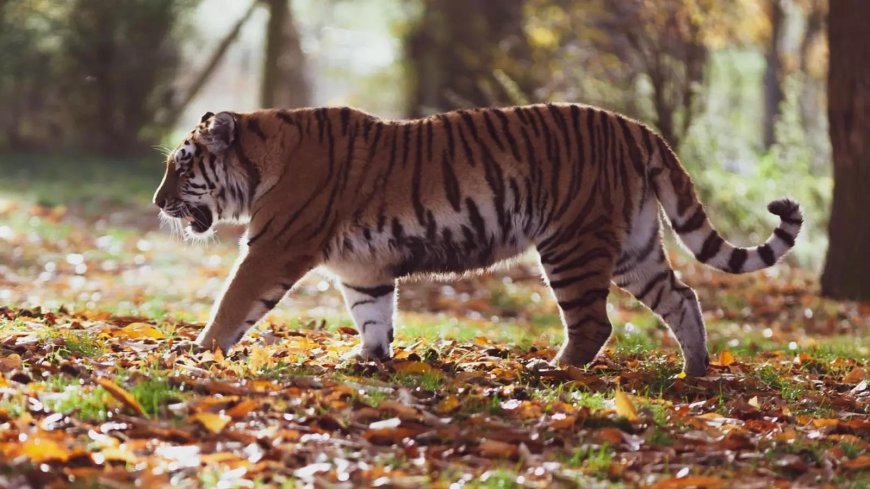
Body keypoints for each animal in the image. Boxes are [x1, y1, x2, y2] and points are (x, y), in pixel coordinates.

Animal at [153, 104, 802, 376]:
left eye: (181, 168)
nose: (158, 204)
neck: (263, 157)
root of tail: (638, 128)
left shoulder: (274, 248)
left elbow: (233, 302)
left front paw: (199, 351)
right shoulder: (362, 268)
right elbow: (373, 314)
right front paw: (367, 359)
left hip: (571, 244)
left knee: (594, 323)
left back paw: (553, 371)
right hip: (633, 248)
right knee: (683, 297)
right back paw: (695, 372)